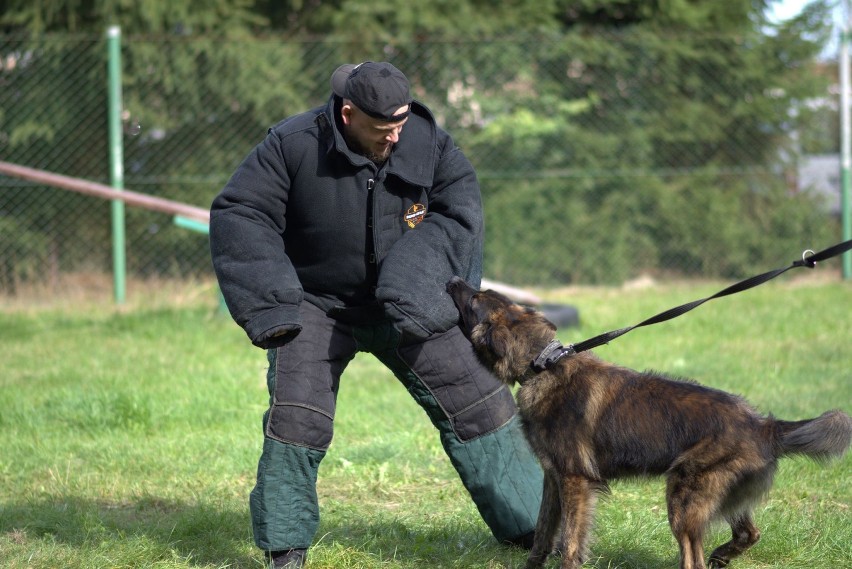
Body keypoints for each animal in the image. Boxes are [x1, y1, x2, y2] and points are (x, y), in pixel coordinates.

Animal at [446, 278, 852, 568]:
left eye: (475, 299)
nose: (451, 279)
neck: (543, 365)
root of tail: (764, 425)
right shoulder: (553, 478)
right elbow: (545, 535)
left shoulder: (575, 480)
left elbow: (571, 542)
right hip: (720, 497)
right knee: (749, 534)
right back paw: (723, 555)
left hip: (682, 502)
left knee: (694, 560)